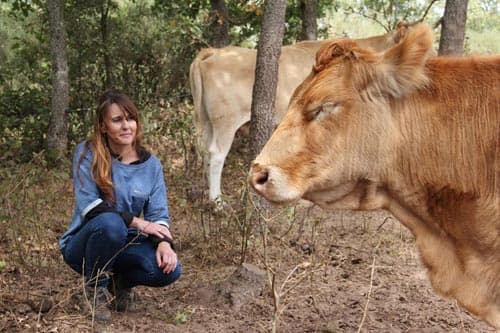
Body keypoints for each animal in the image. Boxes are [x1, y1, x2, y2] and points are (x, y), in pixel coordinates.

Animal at [189, 24, 412, 201]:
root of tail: (216, 52)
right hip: (226, 121)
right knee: (217, 155)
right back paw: (217, 201)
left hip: (206, 121)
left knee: (204, 150)